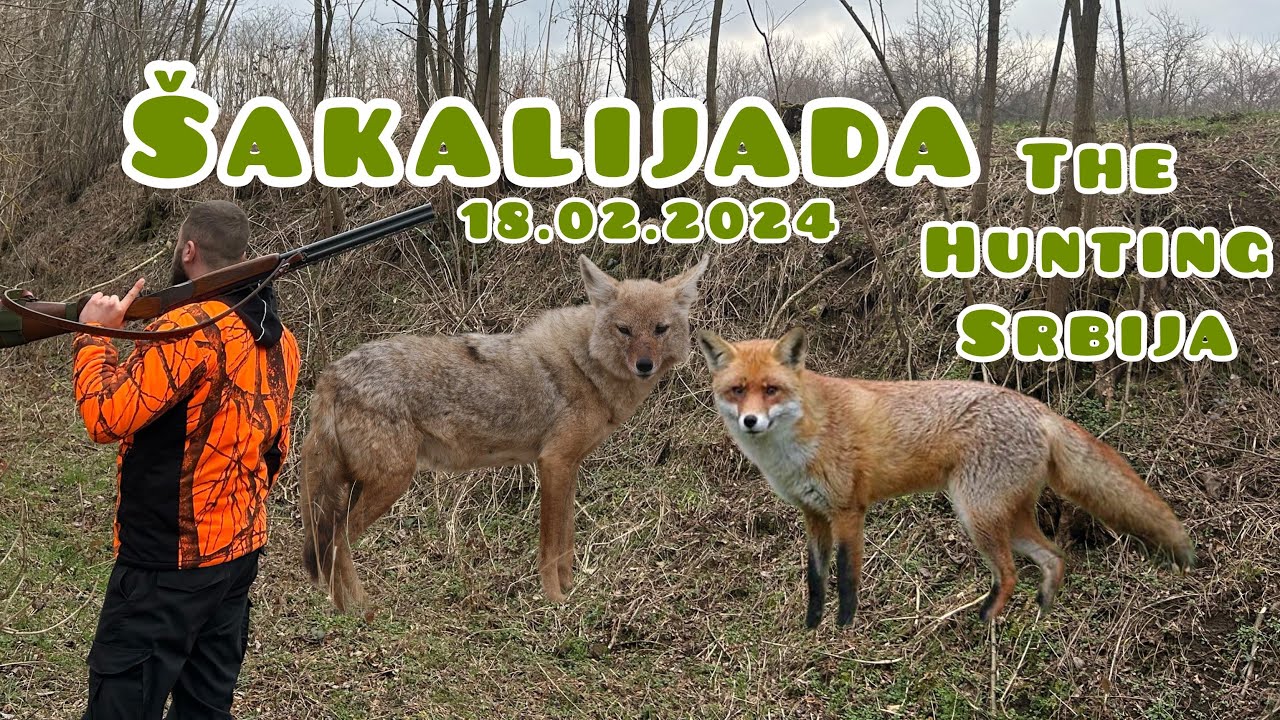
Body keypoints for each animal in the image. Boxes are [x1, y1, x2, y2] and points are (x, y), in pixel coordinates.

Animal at [300, 254, 710, 613]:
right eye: (624, 330)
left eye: (660, 329)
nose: (644, 365)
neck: (586, 365)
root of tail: (332, 373)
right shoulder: (553, 463)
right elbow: (550, 545)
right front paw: (555, 602)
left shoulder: (570, 466)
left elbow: (567, 541)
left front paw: (571, 591)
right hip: (391, 483)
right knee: (338, 540)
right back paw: (359, 612)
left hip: (363, 486)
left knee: (331, 540)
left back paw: (344, 609)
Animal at [697, 328, 1195, 628]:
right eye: (737, 391)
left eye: (771, 390)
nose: (751, 422)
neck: (800, 440)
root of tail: (1037, 407)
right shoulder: (813, 514)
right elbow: (815, 579)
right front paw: (812, 626)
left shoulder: (849, 511)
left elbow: (847, 577)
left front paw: (844, 628)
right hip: (1005, 518)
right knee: (1054, 557)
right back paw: (1043, 610)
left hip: (976, 516)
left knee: (1010, 574)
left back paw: (984, 623)